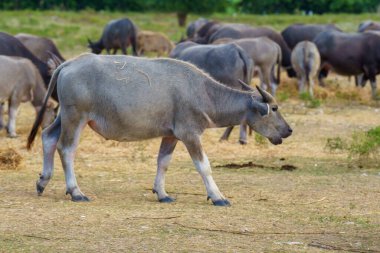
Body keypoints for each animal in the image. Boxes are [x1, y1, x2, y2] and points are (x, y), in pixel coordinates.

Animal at [28, 53, 292, 206]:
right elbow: (204, 166)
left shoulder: (171, 135)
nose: (288, 130)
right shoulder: (189, 134)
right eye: (275, 108)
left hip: (64, 115)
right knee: (66, 149)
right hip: (76, 117)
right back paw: (75, 191)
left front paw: (162, 193)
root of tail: (69, 63)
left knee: (48, 136)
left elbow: (163, 162)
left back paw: (42, 181)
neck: (202, 92)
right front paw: (217, 196)